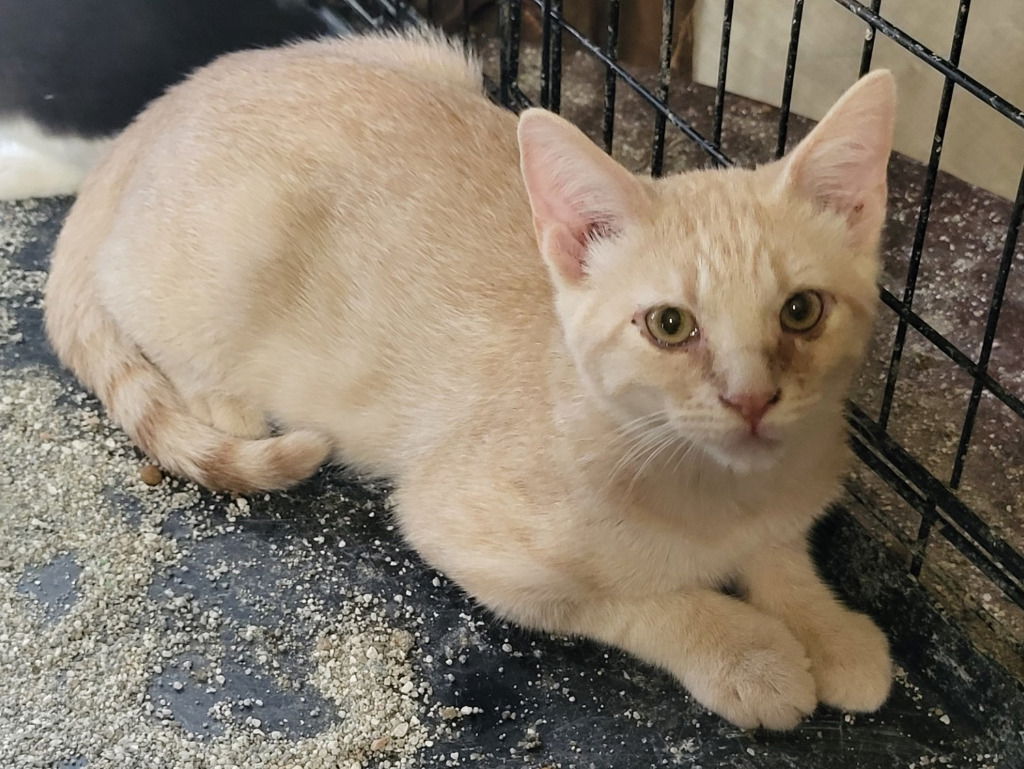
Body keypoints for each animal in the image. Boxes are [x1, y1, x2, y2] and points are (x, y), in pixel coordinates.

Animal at [46, 31, 897, 729]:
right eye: (669, 325)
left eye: (801, 310)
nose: (750, 399)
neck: (717, 493)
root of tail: (158, 110)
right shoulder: (457, 528)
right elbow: (629, 600)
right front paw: (749, 651)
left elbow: (782, 550)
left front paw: (830, 629)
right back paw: (225, 402)